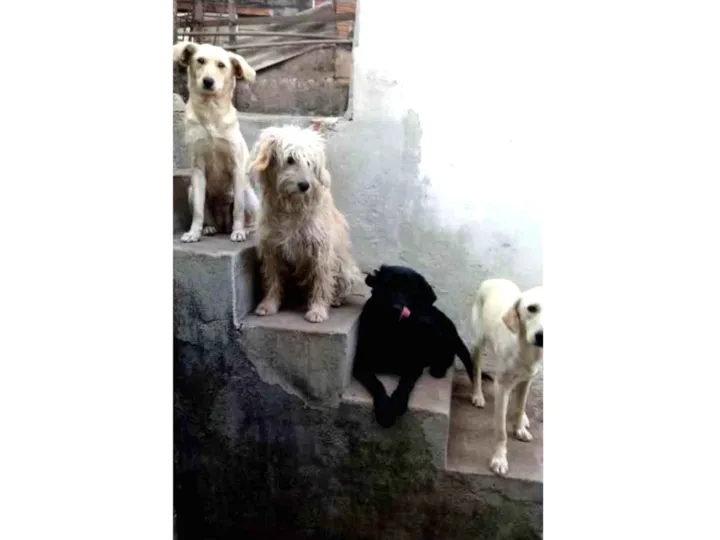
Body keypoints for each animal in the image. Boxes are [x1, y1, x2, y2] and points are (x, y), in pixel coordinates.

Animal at [173, 41, 260, 243]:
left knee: (250, 219)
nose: (208, 81)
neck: (210, 110)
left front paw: (238, 232)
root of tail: (223, 225)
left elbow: (238, 209)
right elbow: (198, 211)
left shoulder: (237, 167)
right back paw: (209, 228)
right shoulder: (198, 168)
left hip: (249, 194)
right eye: (200, 61)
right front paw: (193, 233)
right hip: (191, 191)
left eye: (221, 65)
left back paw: (244, 230)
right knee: (206, 215)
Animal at [249, 125, 361, 323]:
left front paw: (318, 310)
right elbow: (272, 278)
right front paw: (269, 304)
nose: (305, 185)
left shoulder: (320, 250)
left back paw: (336, 299)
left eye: (310, 162)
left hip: (345, 269)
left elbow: (321, 281)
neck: (291, 207)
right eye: (290, 159)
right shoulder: (272, 248)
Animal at [353, 265, 475, 428]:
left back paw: (438, 369)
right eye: (387, 285)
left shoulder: (413, 366)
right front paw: (384, 410)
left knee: (448, 355)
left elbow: (405, 384)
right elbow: (377, 384)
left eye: (410, 290)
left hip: (429, 327)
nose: (396, 308)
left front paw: (397, 404)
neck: (391, 329)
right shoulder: (361, 365)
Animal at [469, 278, 543, 476]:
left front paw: (519, 427)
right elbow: (501, 430)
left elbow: (519, 407)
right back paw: (478, 395)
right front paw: (499, 459)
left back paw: (524, 418)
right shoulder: (501, 385)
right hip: (478, 342)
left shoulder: (527, 380)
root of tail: (496, 278)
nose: (542, 336)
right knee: (477, 370)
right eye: (531, 308)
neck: (526, 349)